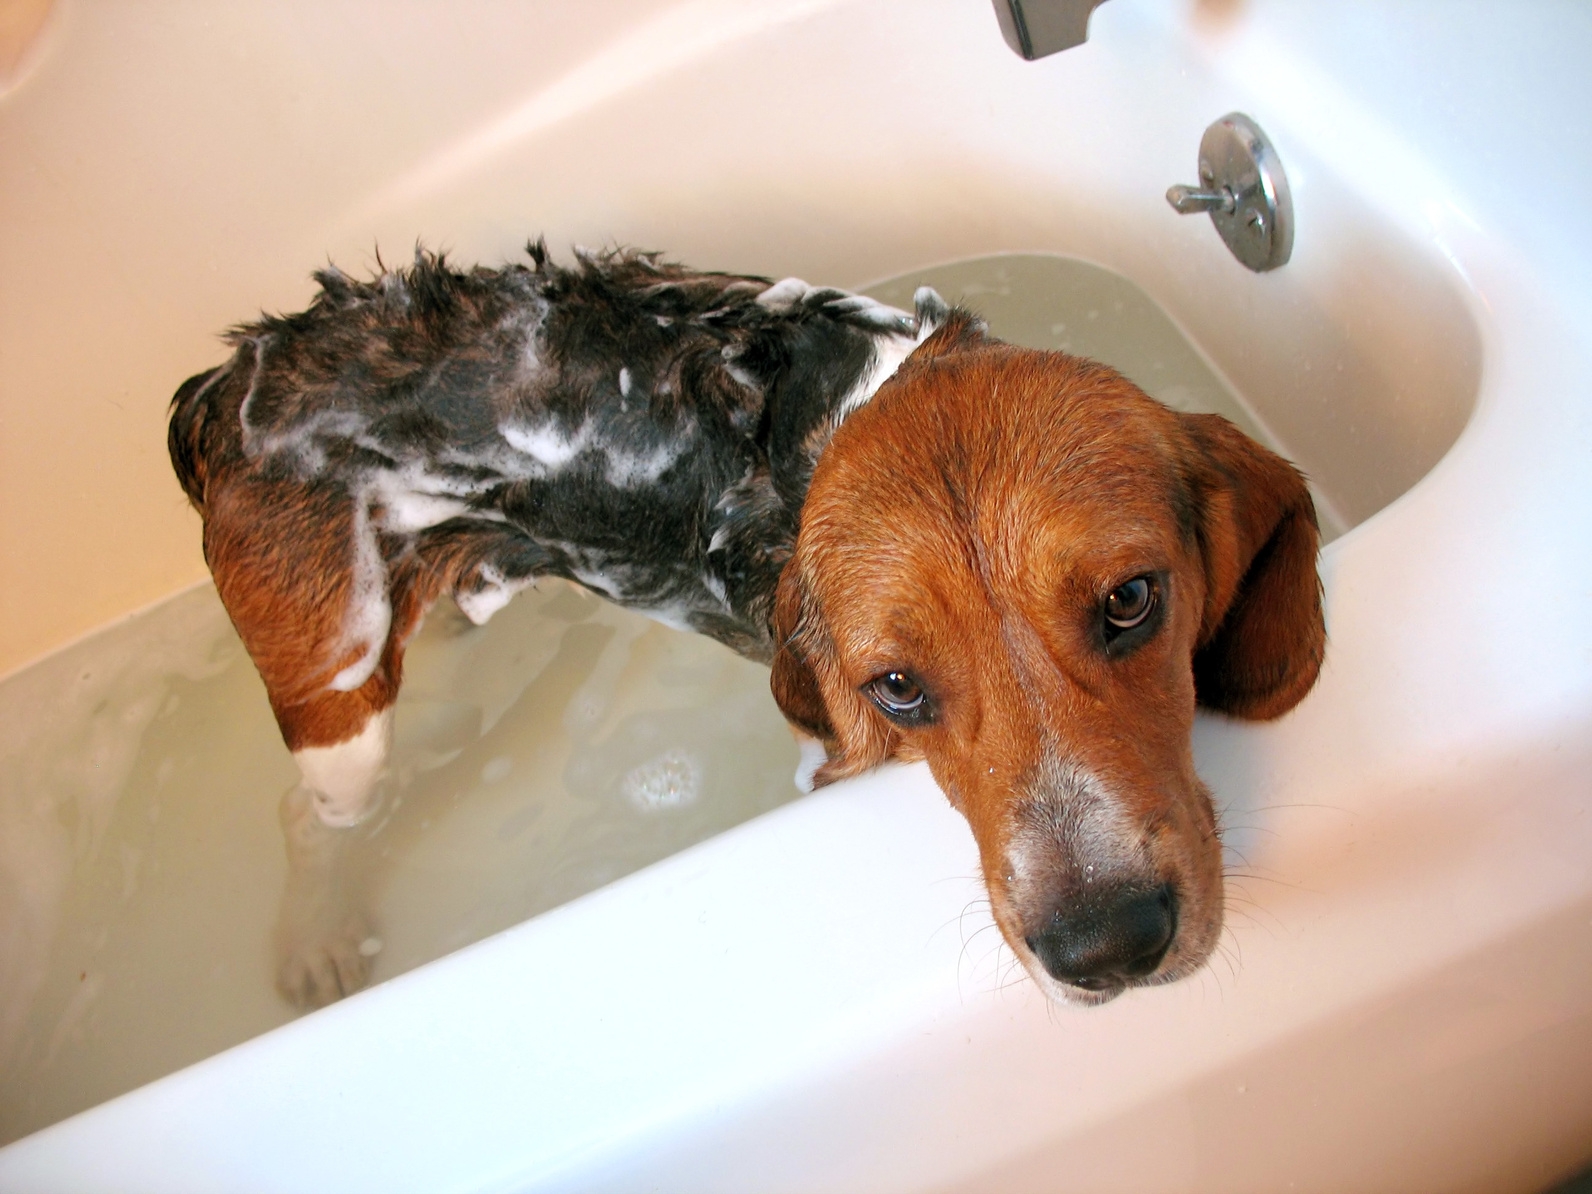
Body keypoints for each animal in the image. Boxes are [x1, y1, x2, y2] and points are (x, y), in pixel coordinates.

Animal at [167, 243, 1324, 1012]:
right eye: (895, 688)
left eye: (1130, 601)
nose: (1104, 947)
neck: (852, 407)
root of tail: (226, 382)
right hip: (338, 699)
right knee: (307, 811)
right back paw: (314, 938)